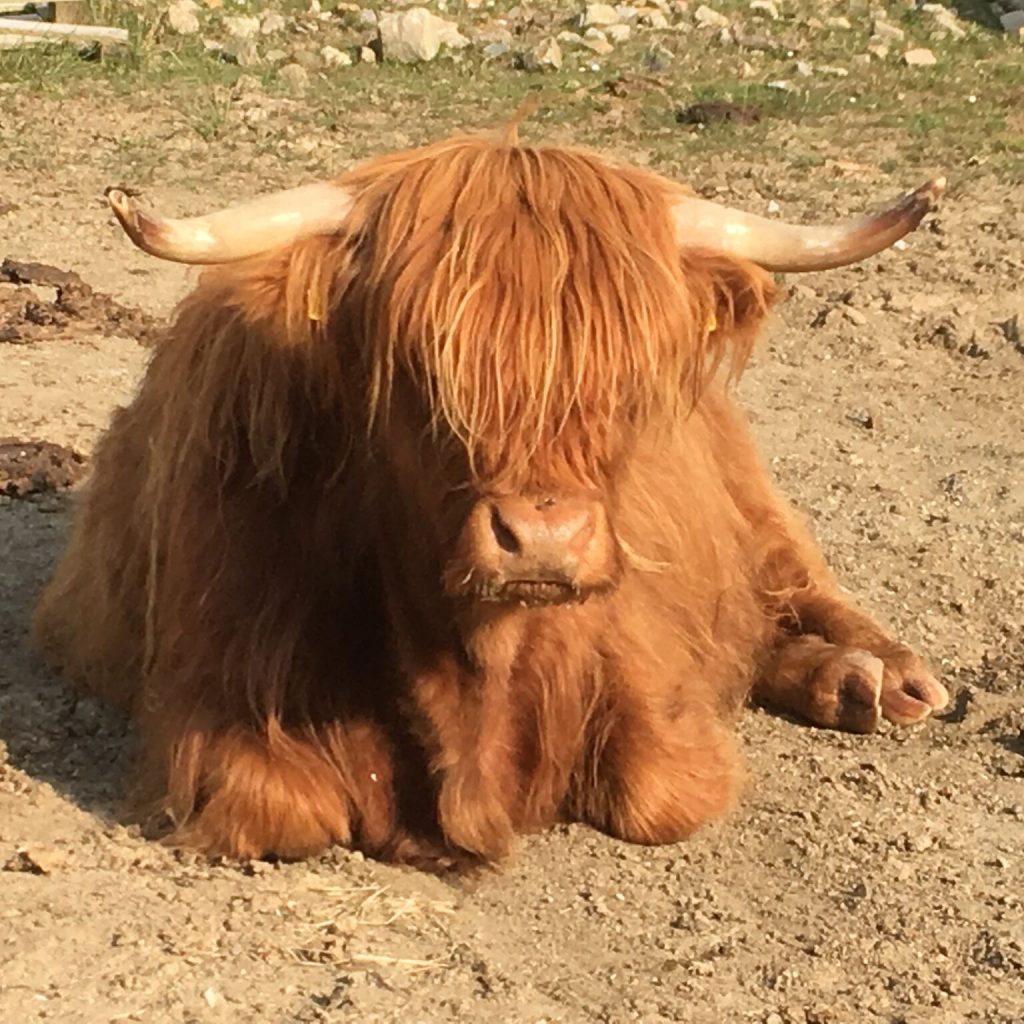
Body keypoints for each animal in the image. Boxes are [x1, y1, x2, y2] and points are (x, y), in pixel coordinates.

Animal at [32, 126, 949, 870]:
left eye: (628, 382)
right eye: (420, 375)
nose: (544, 540)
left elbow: (661, 792)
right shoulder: (217, 700)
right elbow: (287, 811)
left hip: (754, 502)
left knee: (797, 582)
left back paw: (887, 678)